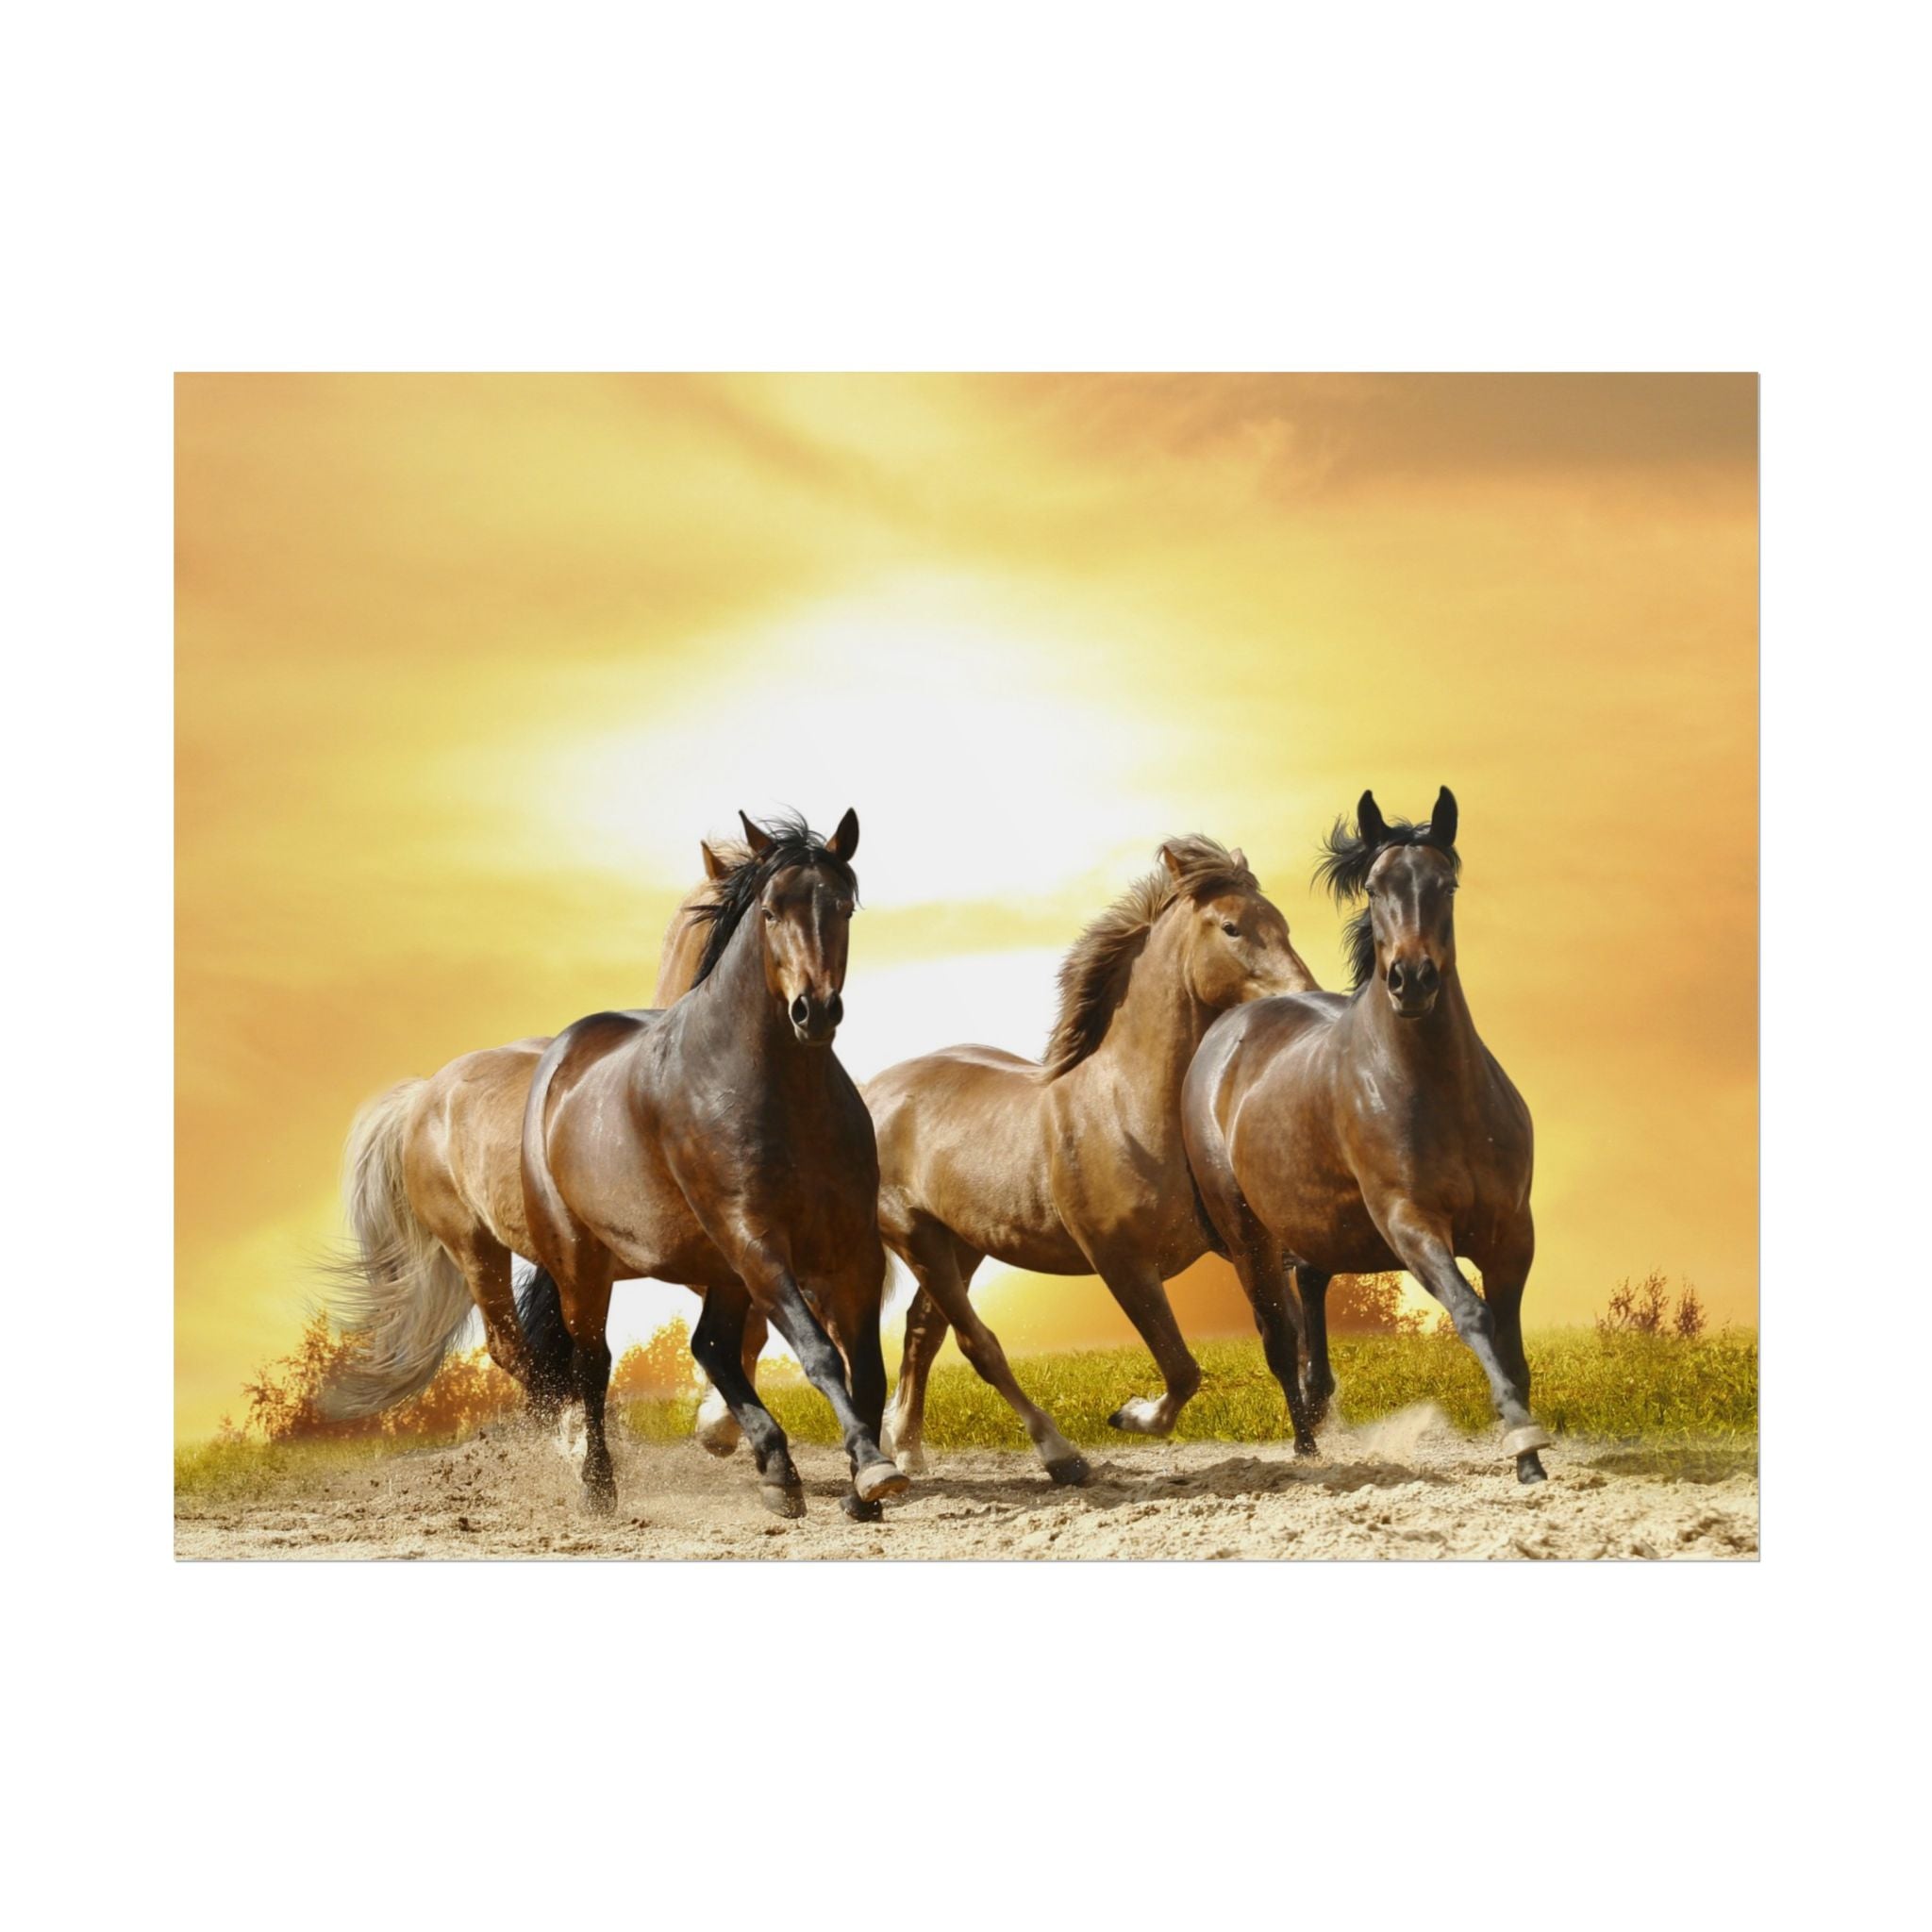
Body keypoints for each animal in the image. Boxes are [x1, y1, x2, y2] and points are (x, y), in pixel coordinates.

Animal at [519, 809, 908, 1518]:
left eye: (842, 906)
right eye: (771, 911)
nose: (815, 1010)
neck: (781, 1093)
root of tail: (559, 1060)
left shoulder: (852, 1247)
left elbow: (865, 1366)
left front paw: (863, 1487)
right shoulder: (756, 1237)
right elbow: (819, 1354)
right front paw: (872, 1469)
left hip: (719, 1266)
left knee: (711, 1346)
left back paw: (777, 1471)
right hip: (584, 1264)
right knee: (594, 1365)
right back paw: (599, 1488)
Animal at [862, 835, 1319, 1483]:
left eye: (1281, 922)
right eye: (1232, 927)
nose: (1304, 997)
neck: (1128, 1107)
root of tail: (875, 1091)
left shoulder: (1247, 1244)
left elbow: (1284, 1339)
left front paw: (1313, 1444)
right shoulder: (1121, 1263)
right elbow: (1182, 1369)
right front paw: (1130, 1415)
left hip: (962, 1245)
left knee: (923, 1332)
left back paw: (907, 1446)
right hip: (918, 1238)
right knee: (978, 1344)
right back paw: (1061, 1456)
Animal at [1181, 788, 1554, 1483]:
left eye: (1446, 883)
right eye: (1377, 887)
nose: (1411, 979)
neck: (1439, 1091)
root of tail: (1228, 1029)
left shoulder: (1512, 1232)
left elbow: (1512, 1342)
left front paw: (1531, 1454)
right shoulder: (1410, 1222)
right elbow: (1473, 1314)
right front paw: (1523, 1441)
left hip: (1317, 1224)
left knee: (1310, 1291)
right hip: (1247, 1235)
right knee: (1278, 1338)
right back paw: (1306, 1448)